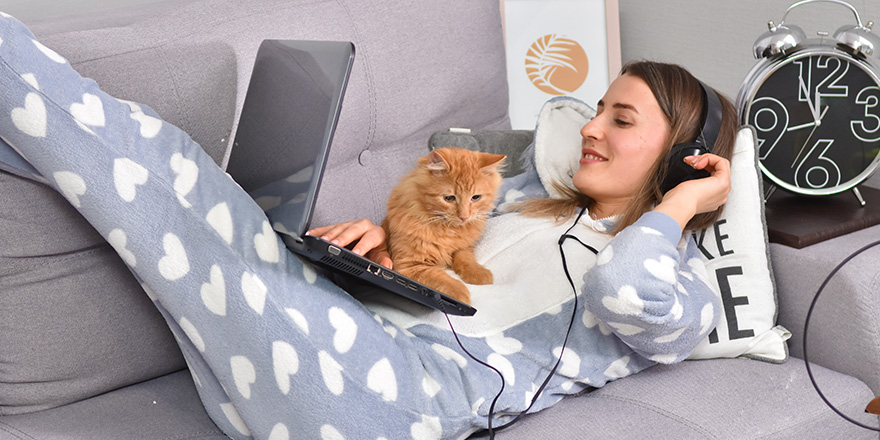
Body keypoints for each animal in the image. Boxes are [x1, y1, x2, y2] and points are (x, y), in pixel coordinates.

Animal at [382, 148, 506, 306]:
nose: (464, 216)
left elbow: (466, 259)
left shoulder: (464, 248)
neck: (448, 229)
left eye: (475, 197)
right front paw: (460, 294)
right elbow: (440, 277)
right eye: (449, 198)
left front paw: (479, 273)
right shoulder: (409, 266)